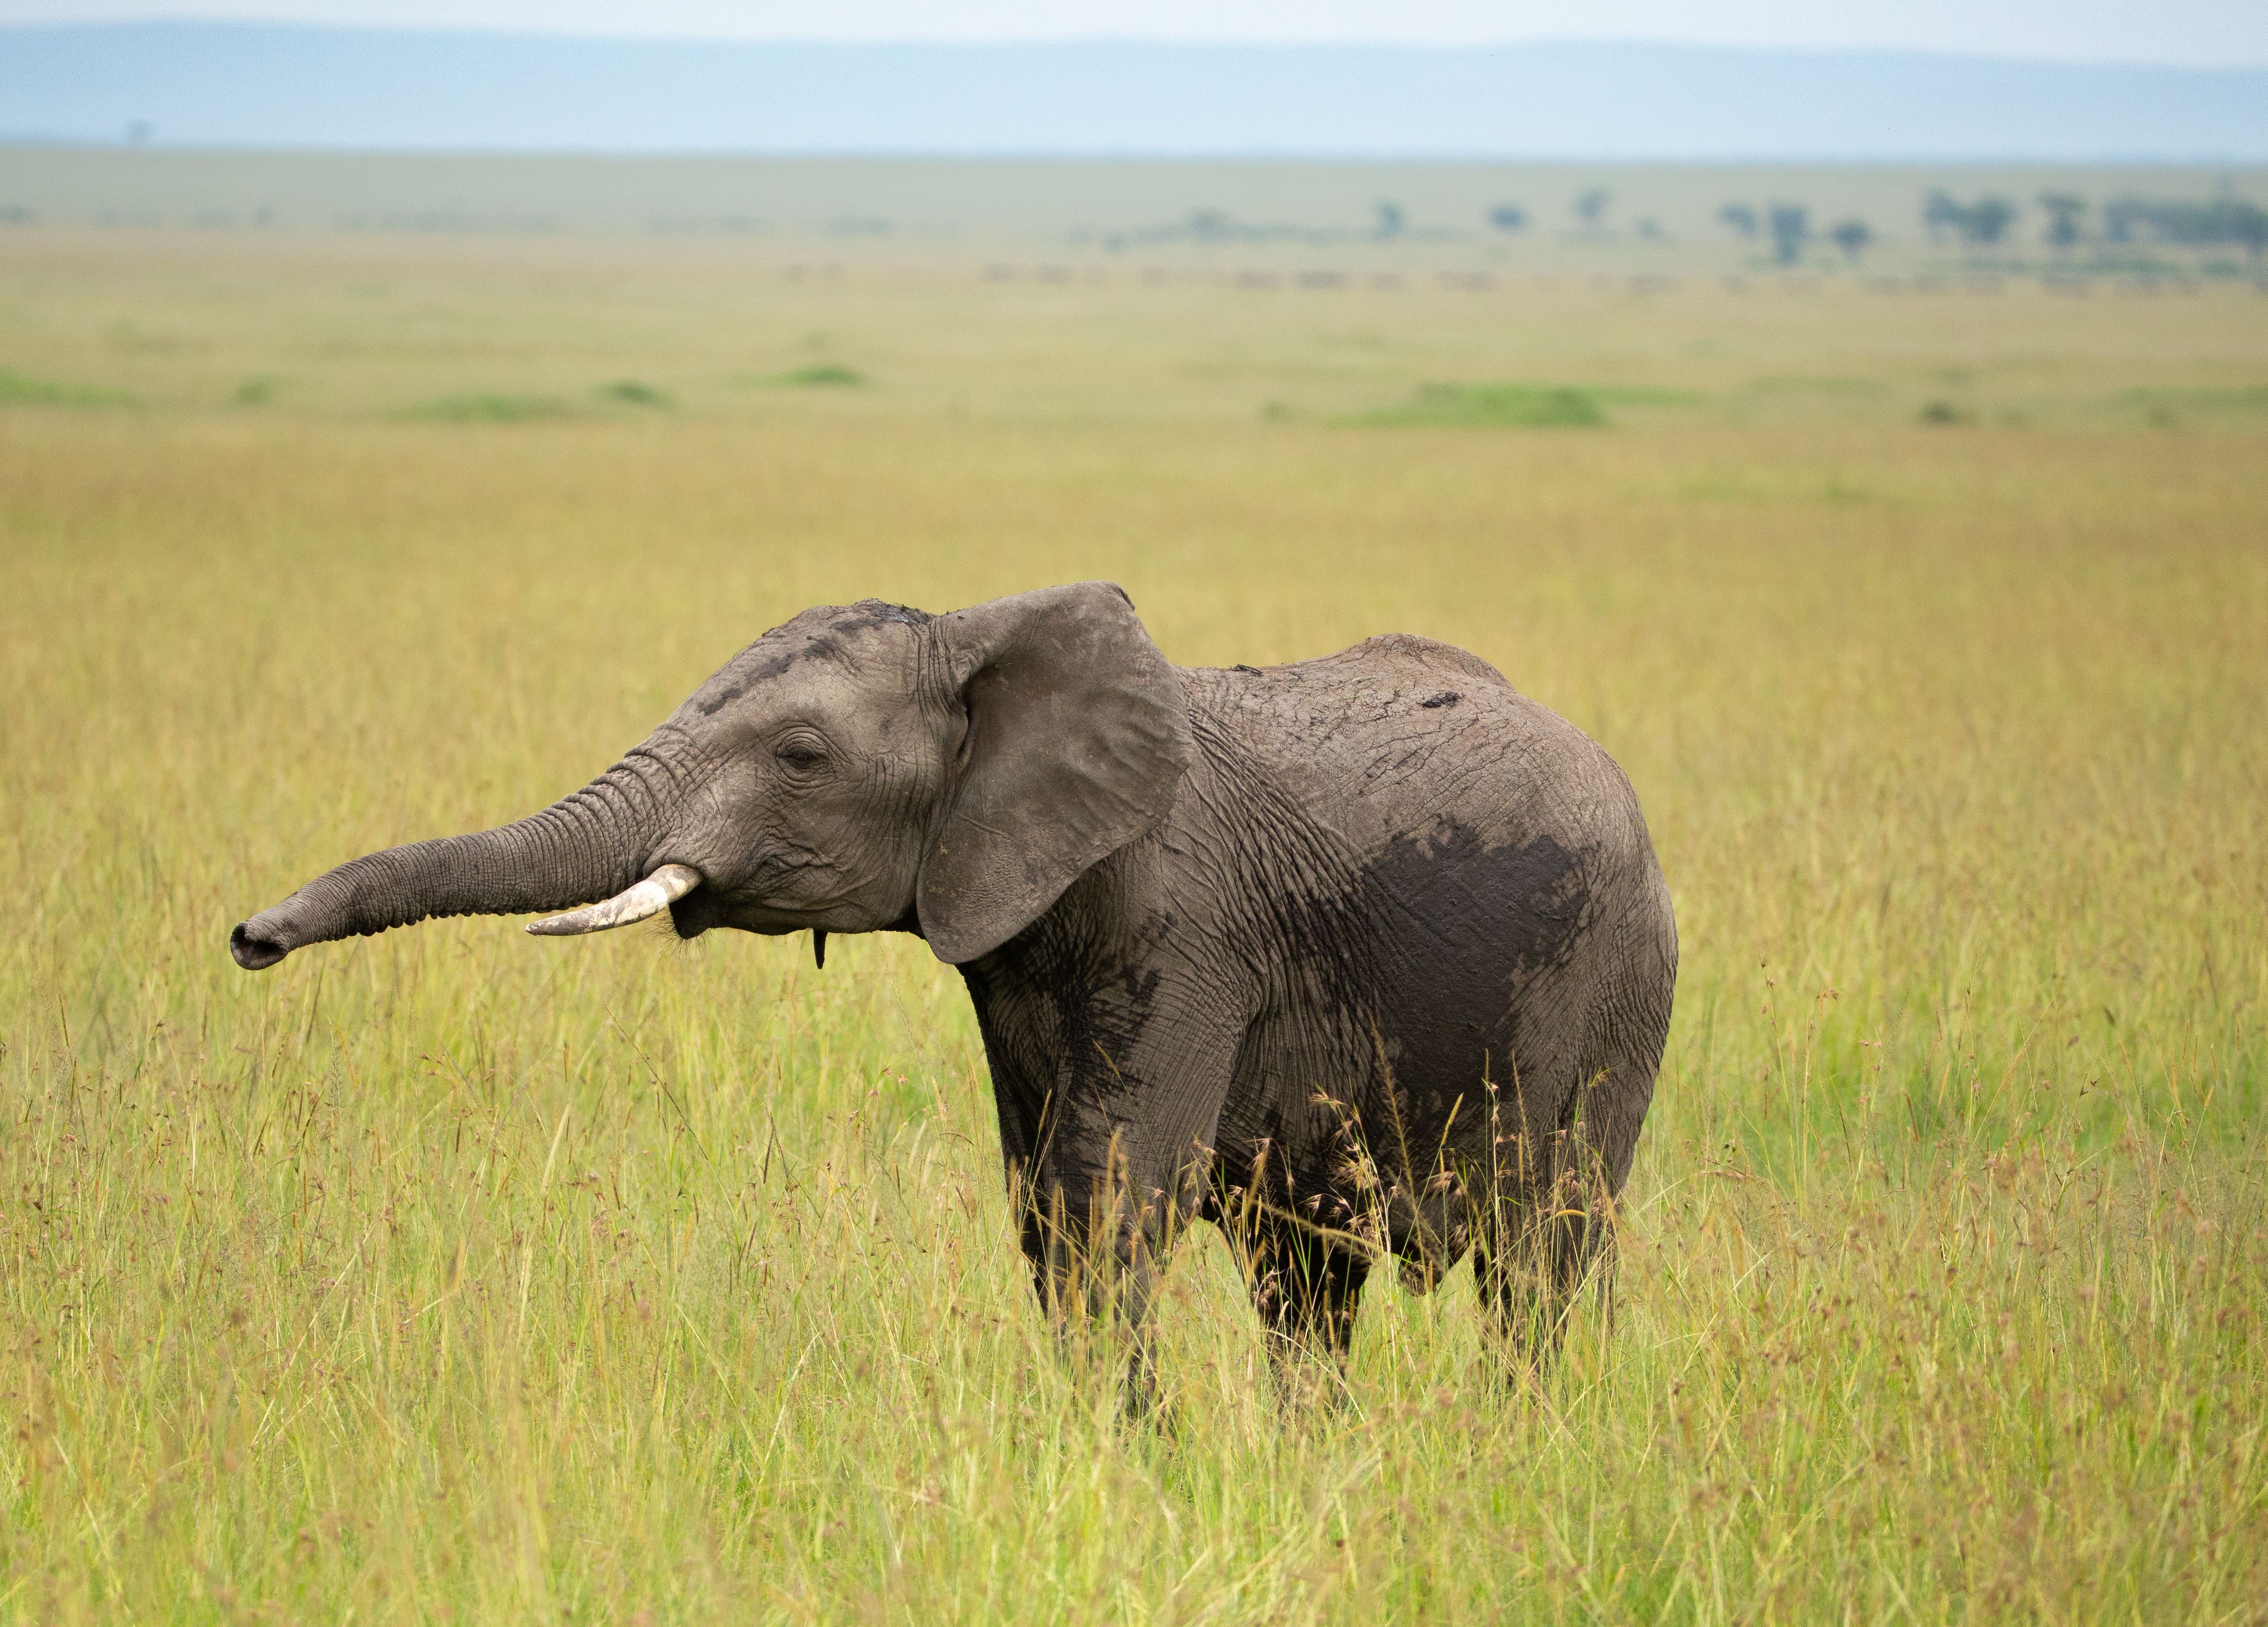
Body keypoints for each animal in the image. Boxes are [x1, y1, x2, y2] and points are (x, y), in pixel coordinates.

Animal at [230, 582, 1677, 1400]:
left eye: (800, 756)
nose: (249, 938)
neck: (983, 639)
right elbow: (1045, 1213)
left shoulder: (1183, 921)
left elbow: (1106, 1203)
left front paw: (1125, 1479)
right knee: (1307, 1286)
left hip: (1611, 987)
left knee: (1539, 1259)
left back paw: (1512, 1455)